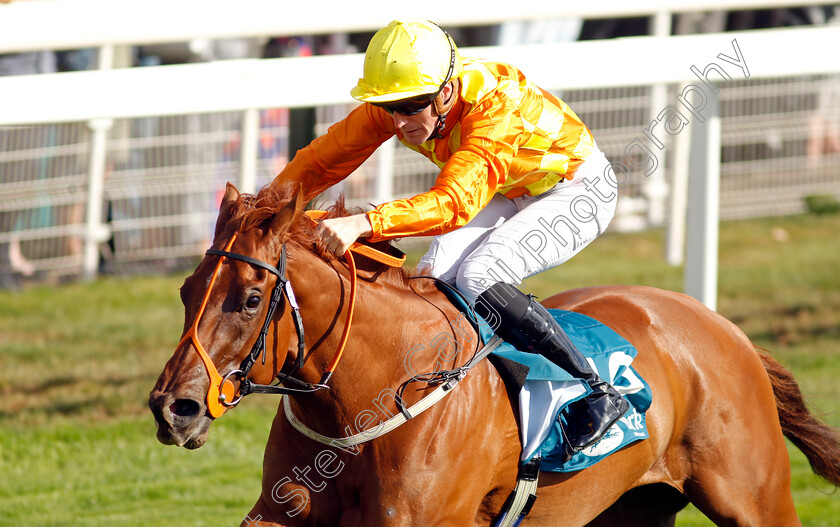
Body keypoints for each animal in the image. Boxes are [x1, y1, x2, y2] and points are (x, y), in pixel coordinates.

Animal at [149, 184, 840, 524]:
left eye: (250, 299)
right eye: (185, 291)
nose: (172, 408)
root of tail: (721, 323)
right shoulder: (279, 513)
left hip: (754, 498)